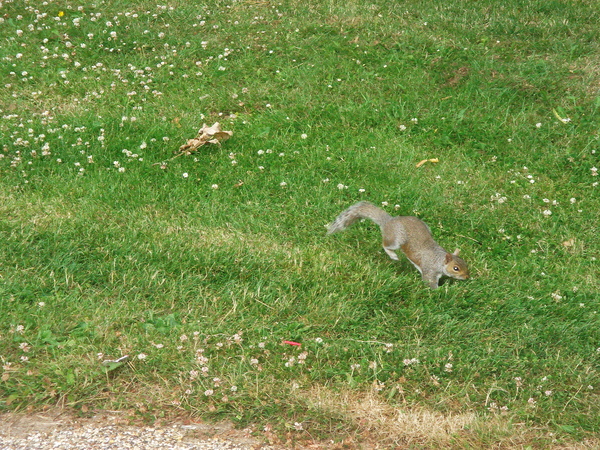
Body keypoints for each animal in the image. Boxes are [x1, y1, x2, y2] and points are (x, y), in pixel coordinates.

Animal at [326, 200, 472, 288]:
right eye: (456, 268)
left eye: (465, 264)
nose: (467, 276)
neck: (439, 260)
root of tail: (389, 221)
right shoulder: (429, 270)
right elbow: (429, 283)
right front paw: (439, 292)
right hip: (396, 239)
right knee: (386, 245)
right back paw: (393, 255)